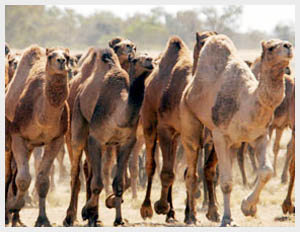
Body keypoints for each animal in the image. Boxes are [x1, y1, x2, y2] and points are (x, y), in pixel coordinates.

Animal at [4, 45, 70, 227]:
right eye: (51, 56)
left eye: (67, 56)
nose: (61, 61)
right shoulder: (18, 135)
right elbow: (23, 179)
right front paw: (14, 206)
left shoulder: (56, 139)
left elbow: (42, 180)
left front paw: (42, 219)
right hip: (8, 139)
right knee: (8, 174)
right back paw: (8, 214)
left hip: (30, 146)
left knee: (15, 171)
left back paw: (16, 218)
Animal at [138, 31, 218, 224]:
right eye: (202, 42)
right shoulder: (166, 129)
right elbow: (167, 172)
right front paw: (160, 206)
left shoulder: (210, 135)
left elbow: (207, 170)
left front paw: (212, 212)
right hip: (149, 122)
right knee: (152, 164)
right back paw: (149, 208)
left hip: (179, 137)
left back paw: (176, 213)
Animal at [180, 34, 292, 227]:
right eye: (271, 48)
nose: (289, 46)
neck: (247, 102)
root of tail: (188, 90)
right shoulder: (220, 136)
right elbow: (226, 181)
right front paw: (227, 218)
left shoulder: (260, 135)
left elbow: (267, 171)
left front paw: (248, 207)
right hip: (190, 120)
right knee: (191, 169)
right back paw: (191, 217)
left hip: (225, 141)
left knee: (207, 168)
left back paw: (210, 213)